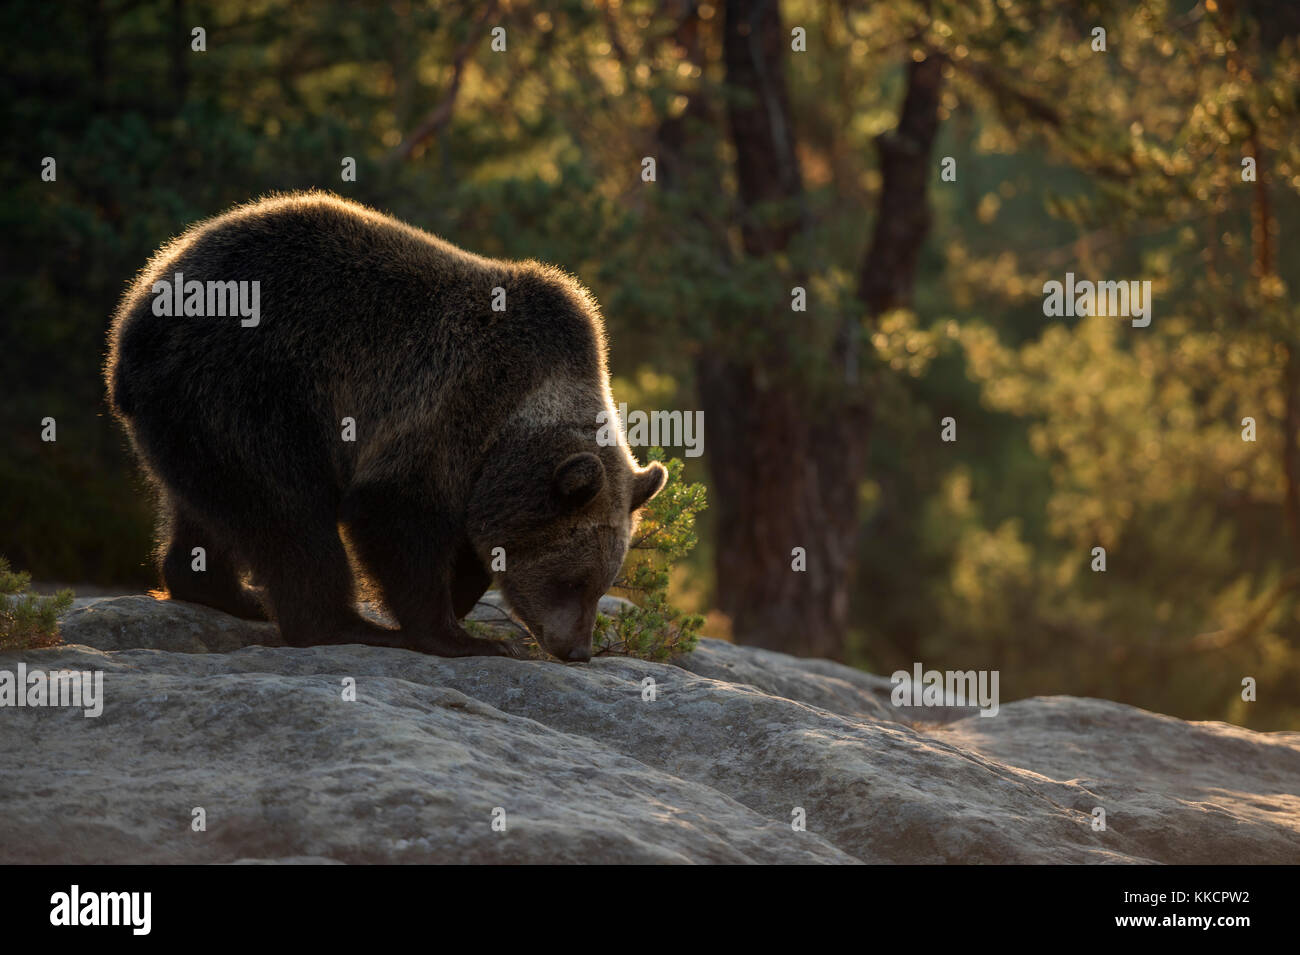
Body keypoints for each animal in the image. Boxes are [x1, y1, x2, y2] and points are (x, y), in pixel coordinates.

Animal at [105, 191, 666, 662]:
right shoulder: (451, 404)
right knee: (287, 509)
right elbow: (395, 512)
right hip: (252, 383)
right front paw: (462, 637)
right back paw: (344, 625)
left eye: (603, 583)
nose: (578, 650)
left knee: (209, 504)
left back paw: (224, 591)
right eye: (574, 581)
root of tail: (135, 313)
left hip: (193, 410)